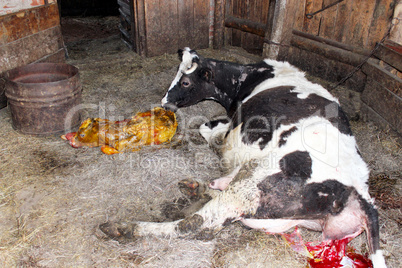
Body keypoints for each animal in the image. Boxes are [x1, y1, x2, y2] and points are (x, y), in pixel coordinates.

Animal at [99, 47, 386, 266]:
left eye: (185, 82)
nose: (164, 103)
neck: (250, 79)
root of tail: (360, 189)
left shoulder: (232, 125)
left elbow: (208, 131)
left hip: (254, 184)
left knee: (198, 222)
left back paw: (125, 228)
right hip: (274, 213)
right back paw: (196, 188)